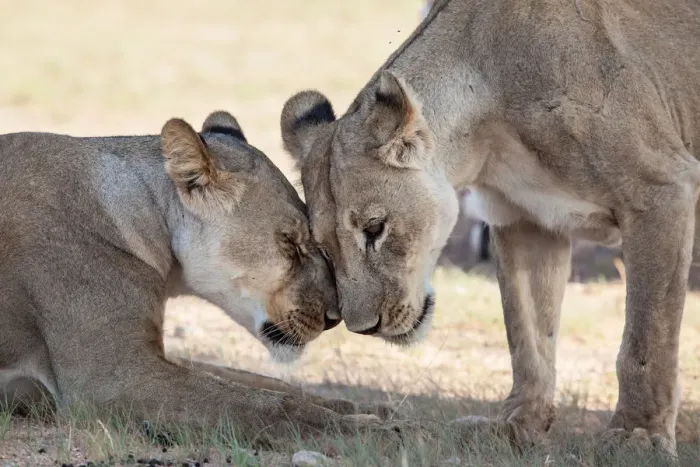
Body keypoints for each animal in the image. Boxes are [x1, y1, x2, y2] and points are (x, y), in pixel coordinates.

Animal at [0, 110, 388, 442]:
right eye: (290, 242)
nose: (334, 317)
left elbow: (260, 382)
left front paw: (370, 408)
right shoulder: (111, 377)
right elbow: (262, 405)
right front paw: (367, 431)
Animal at [281, 0, 700, 456]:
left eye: (375, 228)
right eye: (324, 248)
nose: (363, 328)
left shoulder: (661, 191)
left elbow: (647, 337)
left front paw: (637, 435)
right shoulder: (525, 220)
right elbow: (528, 335)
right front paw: (518, 424)